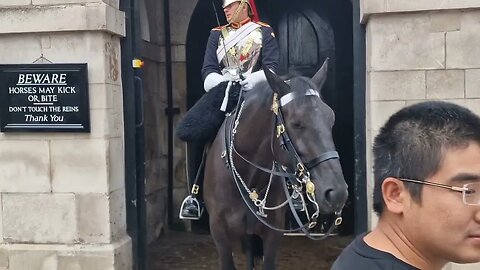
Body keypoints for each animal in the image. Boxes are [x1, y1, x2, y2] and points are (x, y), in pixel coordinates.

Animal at [202, 59, 348, 270]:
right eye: (296, 123)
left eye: (331, 119)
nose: (337, 193)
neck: (249, 177)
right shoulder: (220, 233)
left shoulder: (272, 237)